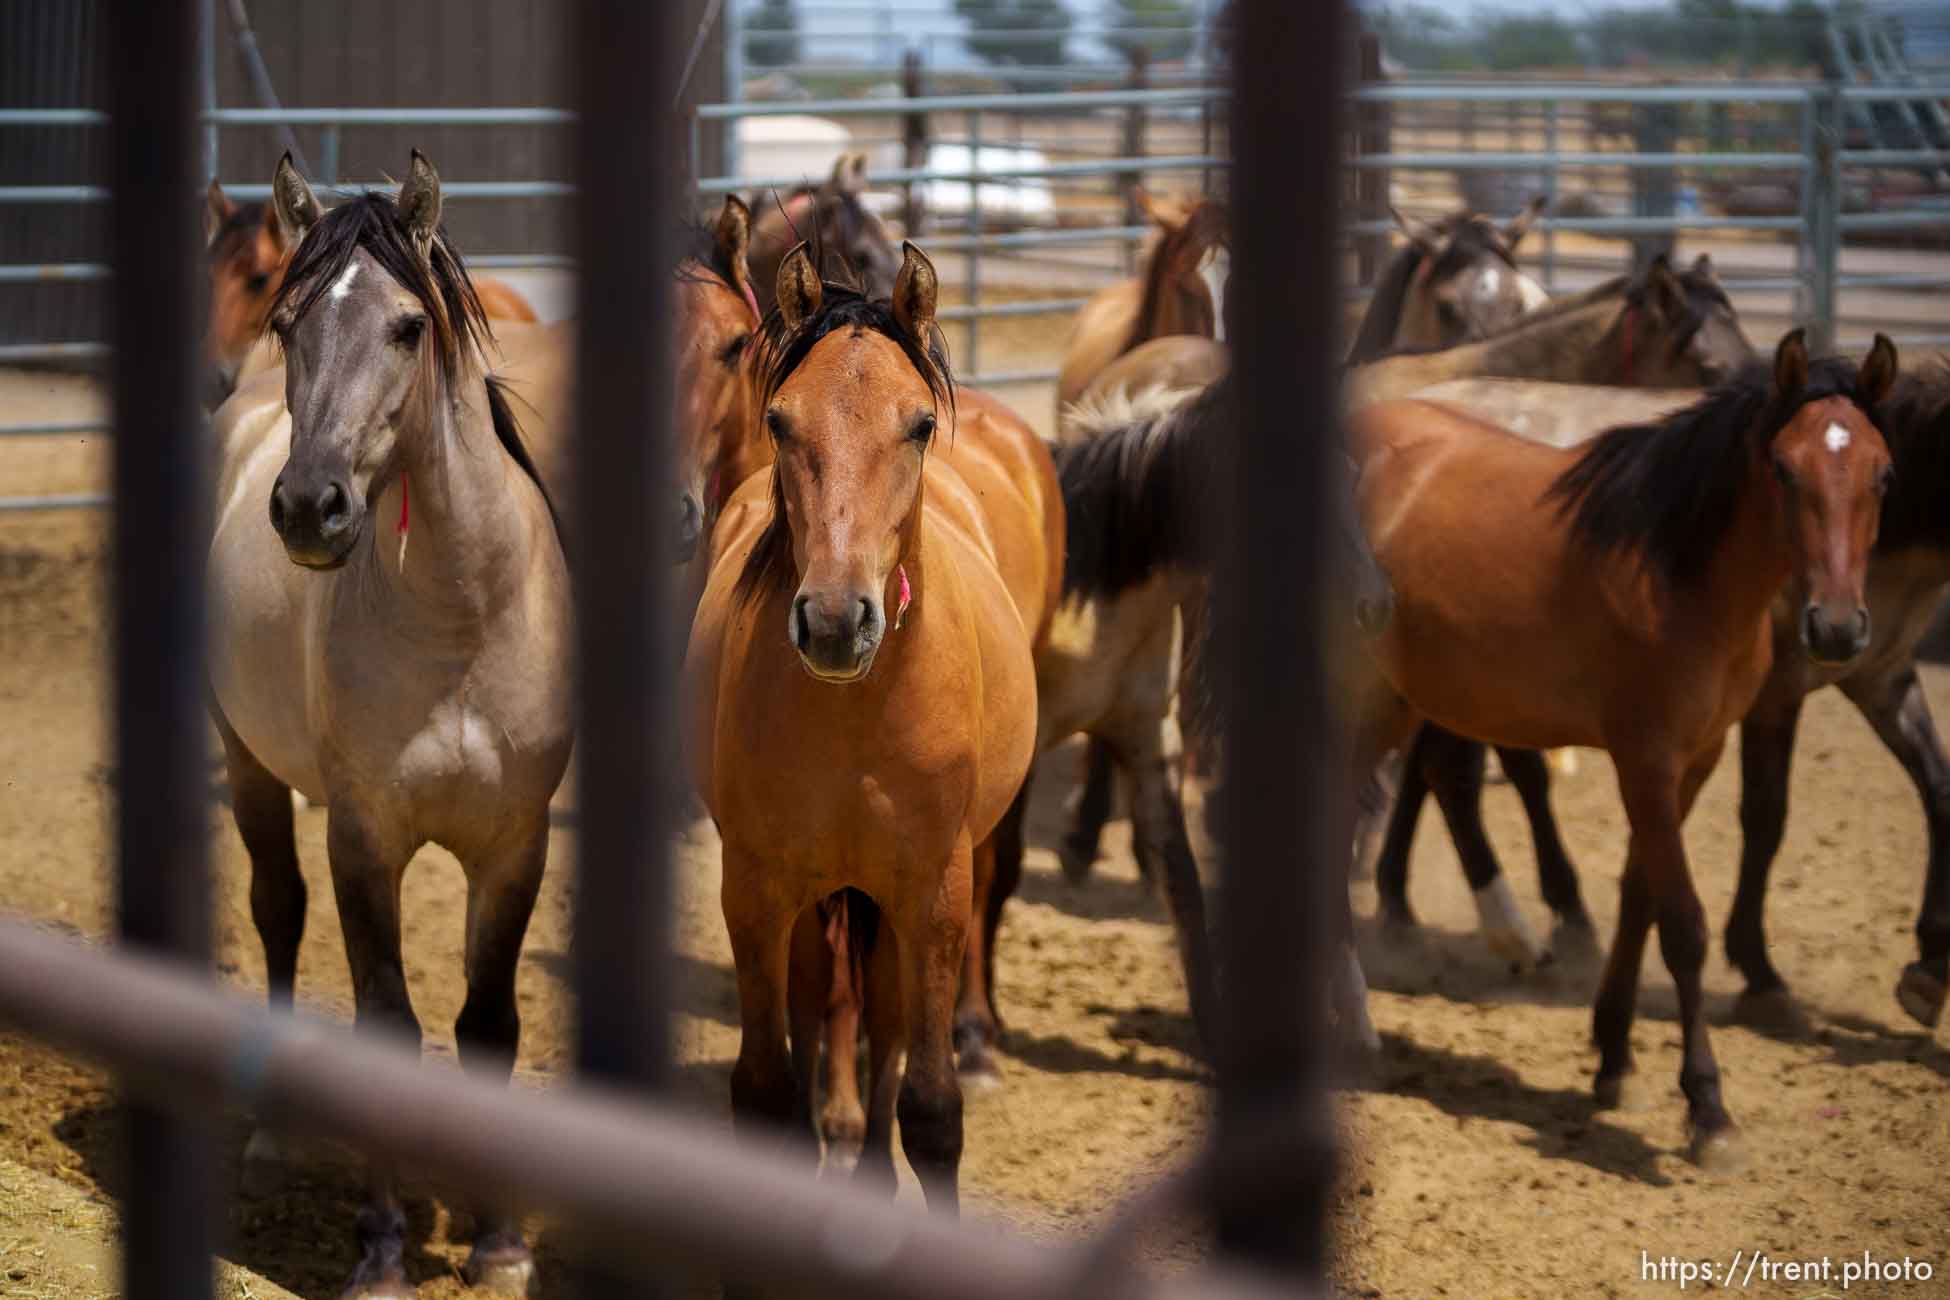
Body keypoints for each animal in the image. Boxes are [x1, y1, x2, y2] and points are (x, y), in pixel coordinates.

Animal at [1349, 333, 1895, 1169]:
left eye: (1882, 472)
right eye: (1783, 467)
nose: (1836, 629)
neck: (1675, 573)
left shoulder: (1694, 761)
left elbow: (1640, 899)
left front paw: (1613, 1061)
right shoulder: (1645, 760)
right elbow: (1684, 925)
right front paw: (1708, 1110)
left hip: (1401, 701)